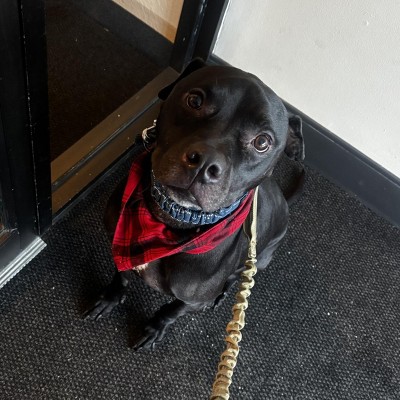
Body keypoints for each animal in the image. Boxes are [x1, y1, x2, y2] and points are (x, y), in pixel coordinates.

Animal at [84, 59, 304, 351]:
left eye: (262, 142)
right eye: (195, 100)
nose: (204, 163)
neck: (168, 222)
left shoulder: (191, 301)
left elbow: (170, 311)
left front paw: (154, 328)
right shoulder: (119, 247)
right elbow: (121, 275)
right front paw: (110, 297)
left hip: (260, 259)